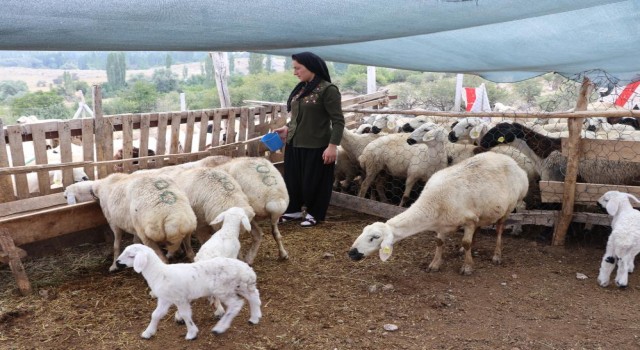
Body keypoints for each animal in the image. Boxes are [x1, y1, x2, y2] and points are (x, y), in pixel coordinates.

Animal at [115, 243, 262, 340]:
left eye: (131, 256)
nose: (117, 262)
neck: (159, 273)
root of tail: (247, 269)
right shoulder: (165, 299)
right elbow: (156, 314)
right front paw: (148, 332)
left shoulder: (180, 298)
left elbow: (186, 315)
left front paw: (191, 333)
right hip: (241, 285)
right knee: (254, 297)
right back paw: (255, 318)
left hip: (223, 289)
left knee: (236, 304)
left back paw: (220, 328)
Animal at [348, 153, 528, 276]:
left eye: (374, 238)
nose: (351, 253)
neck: (433, 203)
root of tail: (514, 163)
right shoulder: (443, 224)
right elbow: (439, 242)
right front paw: (435, 264)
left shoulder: (469, 220)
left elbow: (466, 242)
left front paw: (467, 266)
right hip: (483, 212)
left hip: (508, 207)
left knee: (499, 230)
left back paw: (497, 255)